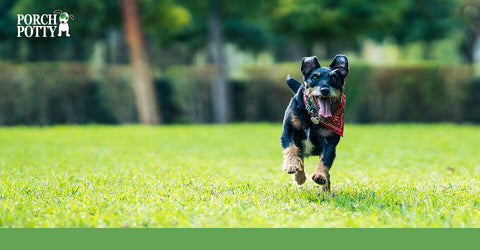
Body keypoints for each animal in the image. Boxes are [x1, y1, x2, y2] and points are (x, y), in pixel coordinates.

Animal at [278, 55, 348, 191]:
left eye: (334, 78)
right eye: (315, 77)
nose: (324, 90)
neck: (313, 117)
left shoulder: (330, 142)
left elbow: (325, 159)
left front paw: (320, 175)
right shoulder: (288, 131)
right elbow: (291, 148)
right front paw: (291, 165)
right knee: (299, 157)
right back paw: (299, 177)